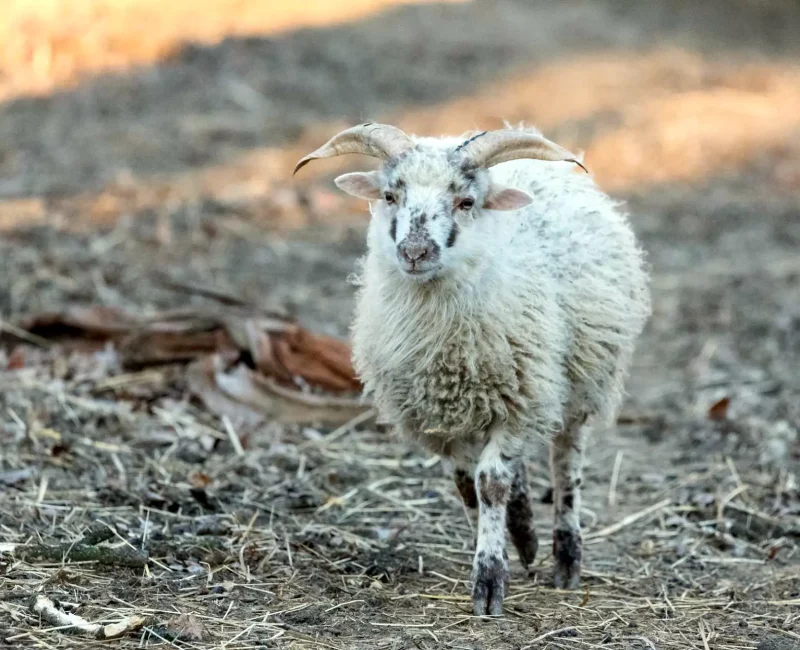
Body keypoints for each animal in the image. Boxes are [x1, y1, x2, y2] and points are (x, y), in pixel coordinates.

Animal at [294, 122, 651, 616]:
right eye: (389, 195)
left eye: (466, 202)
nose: (415, 252)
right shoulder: (442, 418)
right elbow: (469, 487)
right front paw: (497, 543)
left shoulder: (519, 401)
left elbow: (491, 483)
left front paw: (489, 579)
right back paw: (525, 534)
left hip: (581, 378)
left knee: (566, 463)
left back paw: (565, 557)